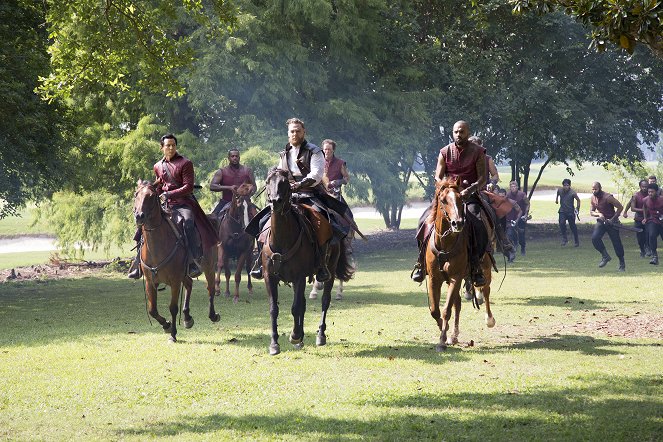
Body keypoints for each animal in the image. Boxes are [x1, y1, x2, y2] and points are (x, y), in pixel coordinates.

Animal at [132, 179, 220, 342]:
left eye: (152, 196)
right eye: (136, 194)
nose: (139, 216)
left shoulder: (174, 281)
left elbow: (173, 308)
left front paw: (172, 334)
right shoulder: (150, 282)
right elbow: (152, 310)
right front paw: (166, 325)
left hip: (209, 267)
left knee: (210, 288)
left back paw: (213, 315)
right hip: (184, 274)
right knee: (190, 284)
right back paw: (187, 318)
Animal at [260, 168, 356, 356]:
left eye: (284, 182)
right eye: (268, 181)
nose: (275, 202)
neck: (282, 239)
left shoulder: (298, 277)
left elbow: (295, 307)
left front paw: (295, 335)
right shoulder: (270, 277)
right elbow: (274, 308)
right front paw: (275, 344)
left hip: (330, 270)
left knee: (325, 300)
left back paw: (320, 335)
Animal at [428, 178, 496, 350]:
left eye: (460, 199)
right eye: (443, 200)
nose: (457, 223)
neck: (445, 244)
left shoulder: (456, 277)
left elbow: (446, 310)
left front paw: (442, 340)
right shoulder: (434, 279)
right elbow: (435, 310)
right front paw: (445, 332)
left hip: (485, 268)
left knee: (486, 290)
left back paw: (489, 319)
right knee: (457, 303)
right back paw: (454, 335)